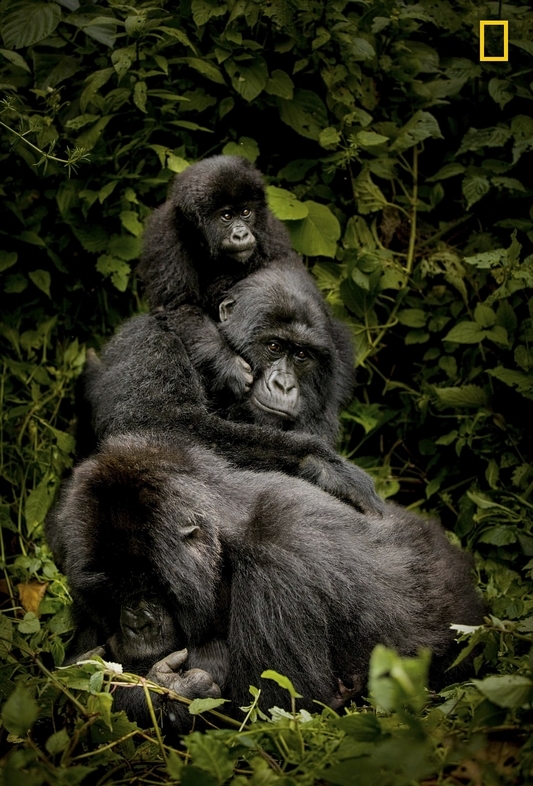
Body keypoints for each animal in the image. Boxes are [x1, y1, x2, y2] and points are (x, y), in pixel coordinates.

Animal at [47, 434, 484, 736]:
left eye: (148, 584)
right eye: (112, 591)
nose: (136, 625)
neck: (222, 538)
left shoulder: (282, 557)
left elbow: (275, 710)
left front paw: (166, 691)